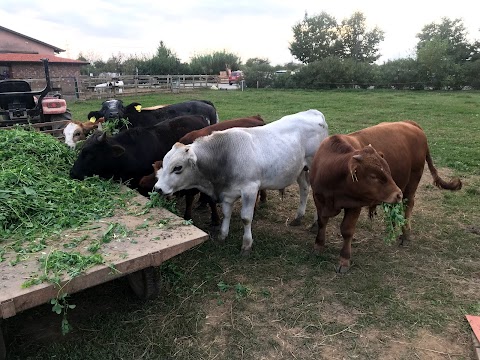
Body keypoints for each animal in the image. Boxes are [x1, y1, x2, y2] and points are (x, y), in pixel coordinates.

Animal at [156, 109, 328, 253]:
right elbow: (226, 214)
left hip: (313, 168)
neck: (224, 155)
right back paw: (298, 217)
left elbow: (246, 218)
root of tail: (314, 112)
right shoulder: (227, 193)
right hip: (300, 169)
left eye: (178, 167)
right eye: (164, 163)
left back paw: (315, 223)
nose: (158, 188)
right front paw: (222, 235)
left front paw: (246, 244)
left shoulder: (250, 190)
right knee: (304, 189)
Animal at [310, 121, 464, 272]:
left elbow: (347, 230)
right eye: (373, 176)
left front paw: (344, 259)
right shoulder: (318, 199)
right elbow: (322, 222)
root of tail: (410, 123)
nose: (398, 193)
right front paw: (318, 245)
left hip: (413, 180)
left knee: (409, 205)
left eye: (388, 171)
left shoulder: (355, 205)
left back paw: (405, 234)